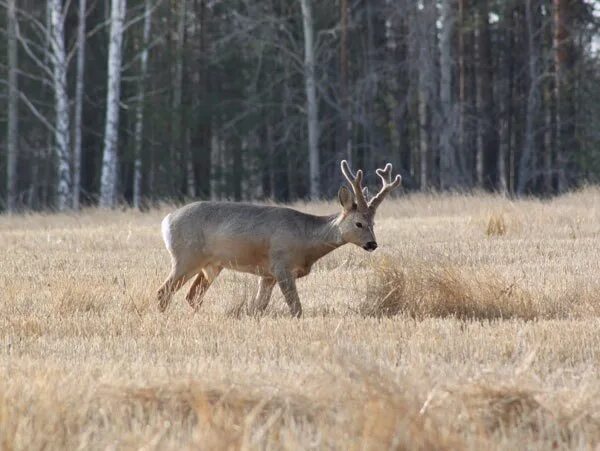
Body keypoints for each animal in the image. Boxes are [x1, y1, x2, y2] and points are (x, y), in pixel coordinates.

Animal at [157, 161, 400, 320]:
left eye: (373, 223)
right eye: (359, 223)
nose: (372, 244)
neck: (305, 240)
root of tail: (166, 220)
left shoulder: (268, 274)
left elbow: (258, 308)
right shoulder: (282, 265)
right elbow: (296, 308)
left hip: (212, 265)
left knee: (192, 296)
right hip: (186, 257)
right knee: (164, 291)